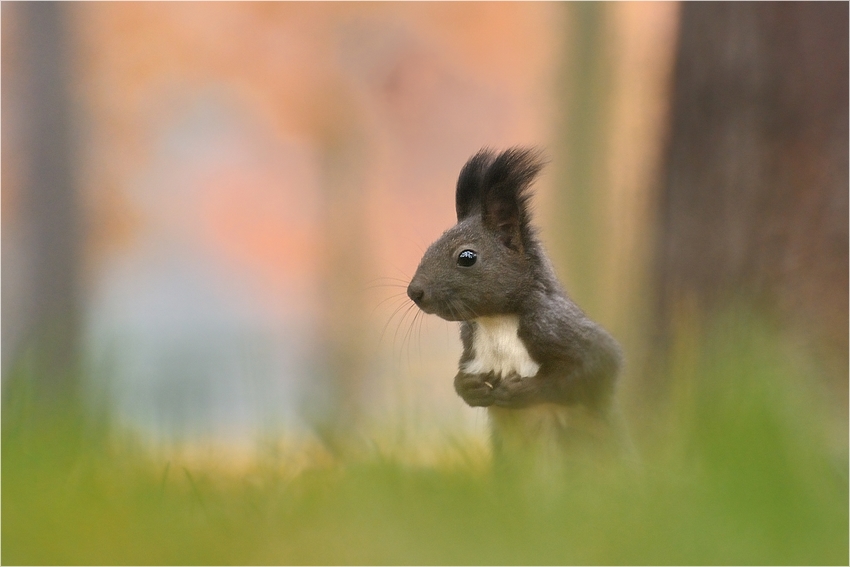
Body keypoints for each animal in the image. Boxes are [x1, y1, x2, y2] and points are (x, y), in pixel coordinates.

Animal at [404, 148, 624, 462]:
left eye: (466, 257)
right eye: (430, 248)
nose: (414, 291)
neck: (496, 321)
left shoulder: (554, 326)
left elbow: (597, 367)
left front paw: (524, 391)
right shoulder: (470, 343)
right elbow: (461, 377)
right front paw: (470, 387)